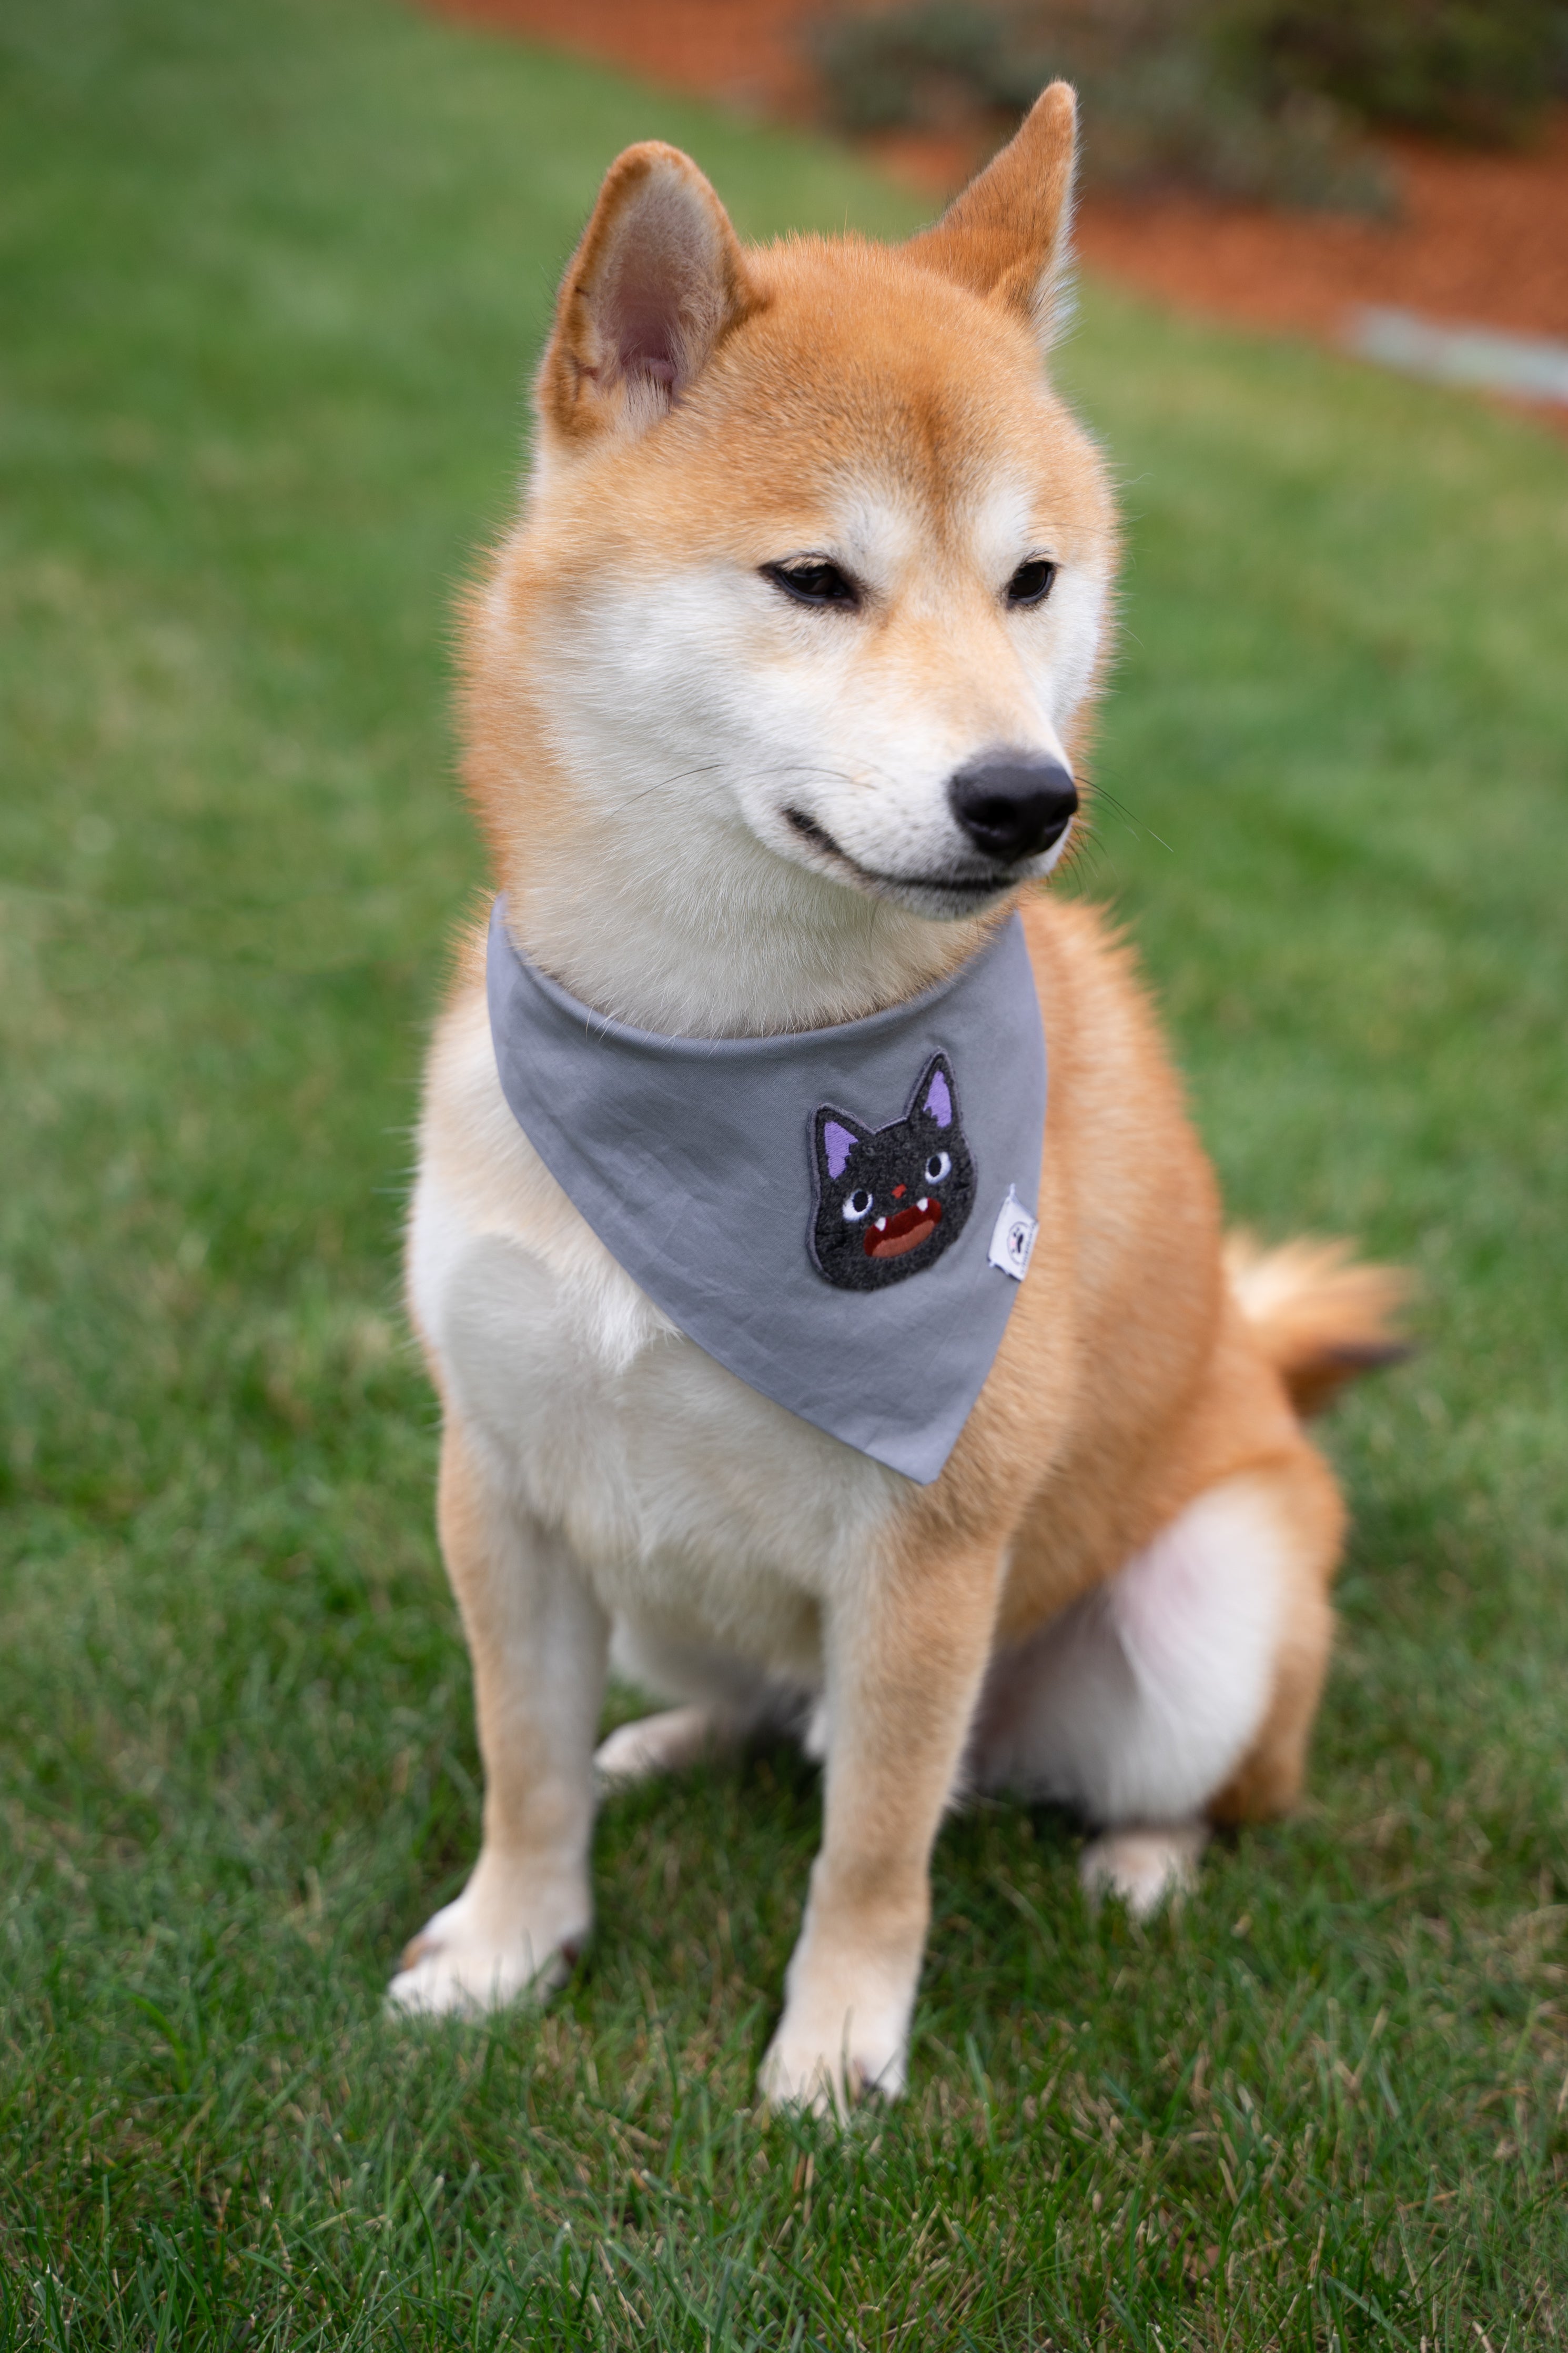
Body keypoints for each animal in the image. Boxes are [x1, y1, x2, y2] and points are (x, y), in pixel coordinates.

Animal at [394, 92, 1410, 2117]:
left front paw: (839, 2054)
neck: (712, 1044)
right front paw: (511, 1945)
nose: (1026, 795)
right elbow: (521, 1760)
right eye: (815, 579)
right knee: (756, 1701)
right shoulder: (508, 1477)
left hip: (1202, 1612)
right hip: (655, 1575)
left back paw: (1140, 1861)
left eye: (1032, 579)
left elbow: (874, 1838)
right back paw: (672, 1739)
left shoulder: (927, 1559)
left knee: (1166, 1782)